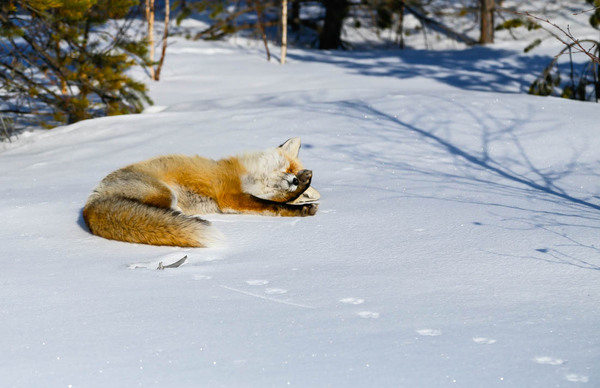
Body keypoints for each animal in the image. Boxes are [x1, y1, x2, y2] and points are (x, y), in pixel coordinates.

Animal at [83, 138, 324, 247]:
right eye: (289, 168)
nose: (295, 179)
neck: (256, 179)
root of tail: (89, 205)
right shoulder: (230, 195)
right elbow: (274, 204)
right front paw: (303, 194)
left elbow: (274, 203)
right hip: (165, 194)